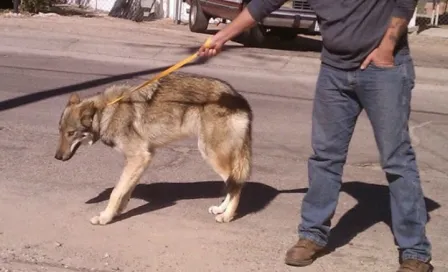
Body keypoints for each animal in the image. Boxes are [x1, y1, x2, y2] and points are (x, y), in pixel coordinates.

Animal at [53, 72, 252, 225]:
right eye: (60, 131)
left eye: (71, 133)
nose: (57, 157)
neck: (107, 112)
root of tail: (242, 101)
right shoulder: (143, 158)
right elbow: (126, 190)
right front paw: (117, 211)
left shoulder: (139, 157)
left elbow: (116, 192)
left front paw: (105, 218)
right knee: (233, 184)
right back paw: (220, 209)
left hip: (211, 155)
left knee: (236, 185)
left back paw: (227, 216)